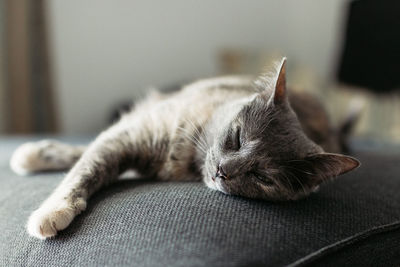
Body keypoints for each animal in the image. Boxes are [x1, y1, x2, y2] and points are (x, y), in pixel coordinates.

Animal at [9, 58, 360, 241]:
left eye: (263, 177)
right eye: (236, 138)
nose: (223, 170)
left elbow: (86, 166)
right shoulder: (130, 133)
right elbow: (85, 166)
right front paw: (49, 196)